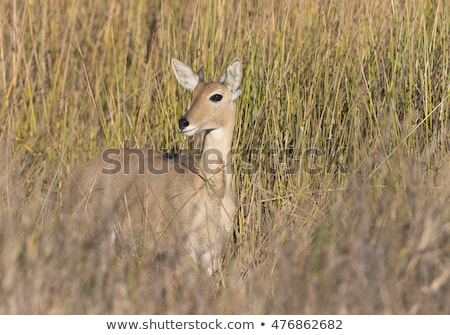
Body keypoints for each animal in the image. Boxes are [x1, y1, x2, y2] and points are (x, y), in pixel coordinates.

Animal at [64, 58, 243, 276]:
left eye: (216, 96)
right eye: (193, 94)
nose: (183, 122)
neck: (213, 190)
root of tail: (80, 174)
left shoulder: (212, 254)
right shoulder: (185, 250)